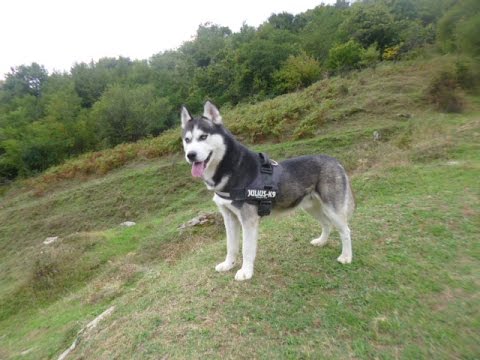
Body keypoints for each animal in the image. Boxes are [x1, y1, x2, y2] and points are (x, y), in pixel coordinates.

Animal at [182, 101, 354, 282]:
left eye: (203, 137)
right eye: (187, 140)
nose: (190, 155)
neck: (232, 168)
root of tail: (334, 160)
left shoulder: (248, 220)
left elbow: (246, 249)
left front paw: (246, 272)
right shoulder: (229, 218)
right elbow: (231, 246)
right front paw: (228, 264)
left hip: (333, 210)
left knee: (346, 230)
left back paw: (346, 257)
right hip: (311, 208)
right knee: (326, 224)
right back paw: (322, 241)